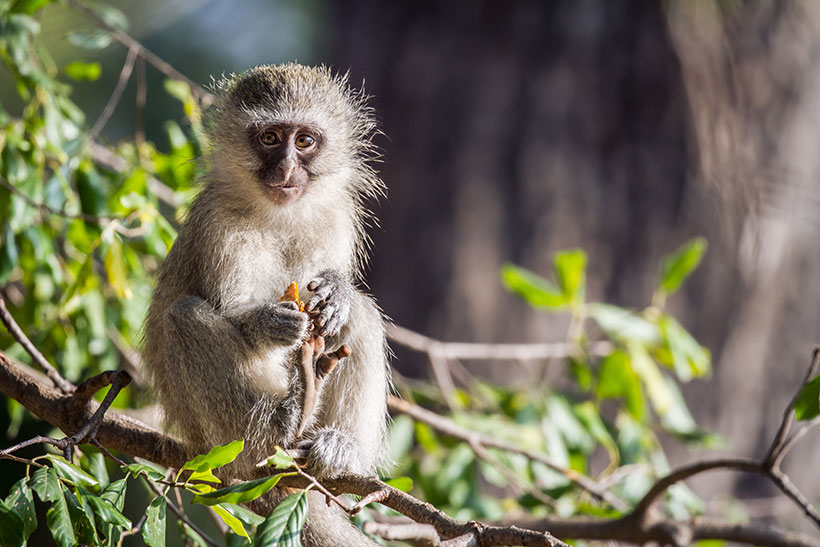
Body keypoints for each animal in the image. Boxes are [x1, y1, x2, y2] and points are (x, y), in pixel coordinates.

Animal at [142, 63, 390, 544]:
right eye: (271, 138)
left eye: (305, 141)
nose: (287, 166)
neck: (279, 215)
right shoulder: (219, 223)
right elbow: (232, 312)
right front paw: (268, 324)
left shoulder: (336, 214)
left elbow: (341, 303)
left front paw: (339, 291)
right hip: (212, 437)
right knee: (184, 316)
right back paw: (278, 427)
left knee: (362, 318)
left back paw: (338, 445)